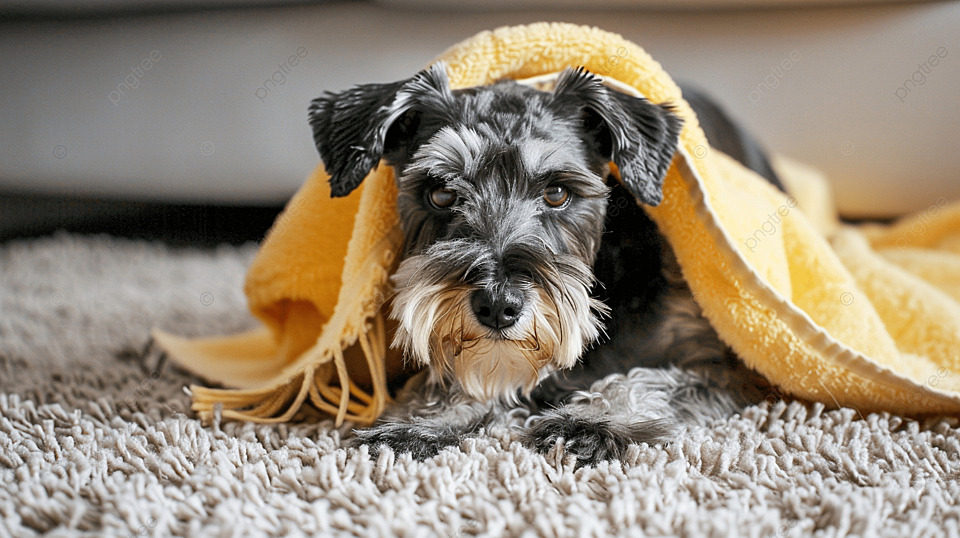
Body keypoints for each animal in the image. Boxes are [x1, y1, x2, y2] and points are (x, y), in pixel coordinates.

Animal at [310, 63, 780, 464]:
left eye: (557, 193)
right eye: (441, 193)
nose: (497, 306)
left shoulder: (724, 366)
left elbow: (650, 379)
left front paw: (593, 422)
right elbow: (442, 380)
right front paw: (417, 425)